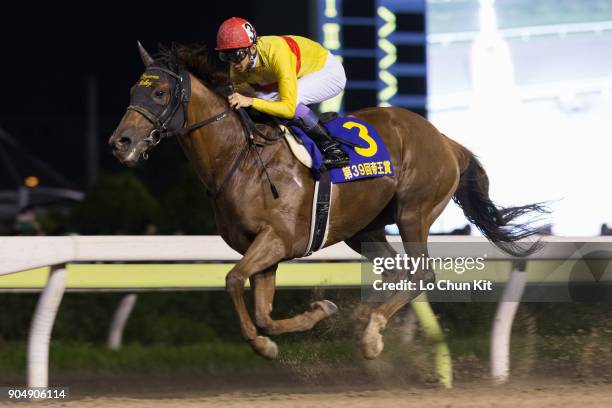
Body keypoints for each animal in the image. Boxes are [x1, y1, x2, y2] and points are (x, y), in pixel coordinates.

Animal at [109, 42, 544, 360]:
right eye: (133, 90)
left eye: (160, 92)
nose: (120, 143)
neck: (242, 158)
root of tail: (444, 139)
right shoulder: (263, 249)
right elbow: (264, 314)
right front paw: (314, 316)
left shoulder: (278, 239)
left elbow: (233, 280)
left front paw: (264, 344)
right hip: (364, 229)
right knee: (396, 274)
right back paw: (365, 322)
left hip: (414, 211)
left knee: (421, 274)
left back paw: (371, 335)